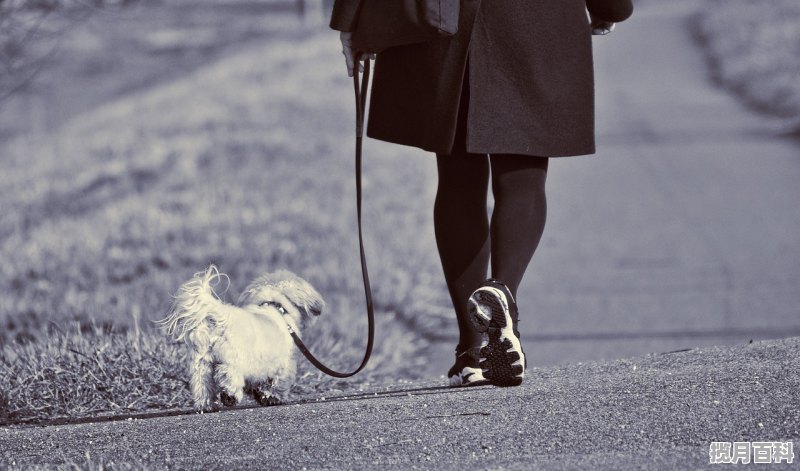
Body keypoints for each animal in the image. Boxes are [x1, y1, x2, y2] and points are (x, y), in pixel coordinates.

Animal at [158, 268, 324, 412]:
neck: (275, 306)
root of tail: (221, 318)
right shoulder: (284, 365)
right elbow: (277, 383)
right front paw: (273, 397)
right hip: (234, 359)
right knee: (229, 376)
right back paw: (230, 396)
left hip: (202, 363)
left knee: (202, 384)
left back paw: (206, 405)